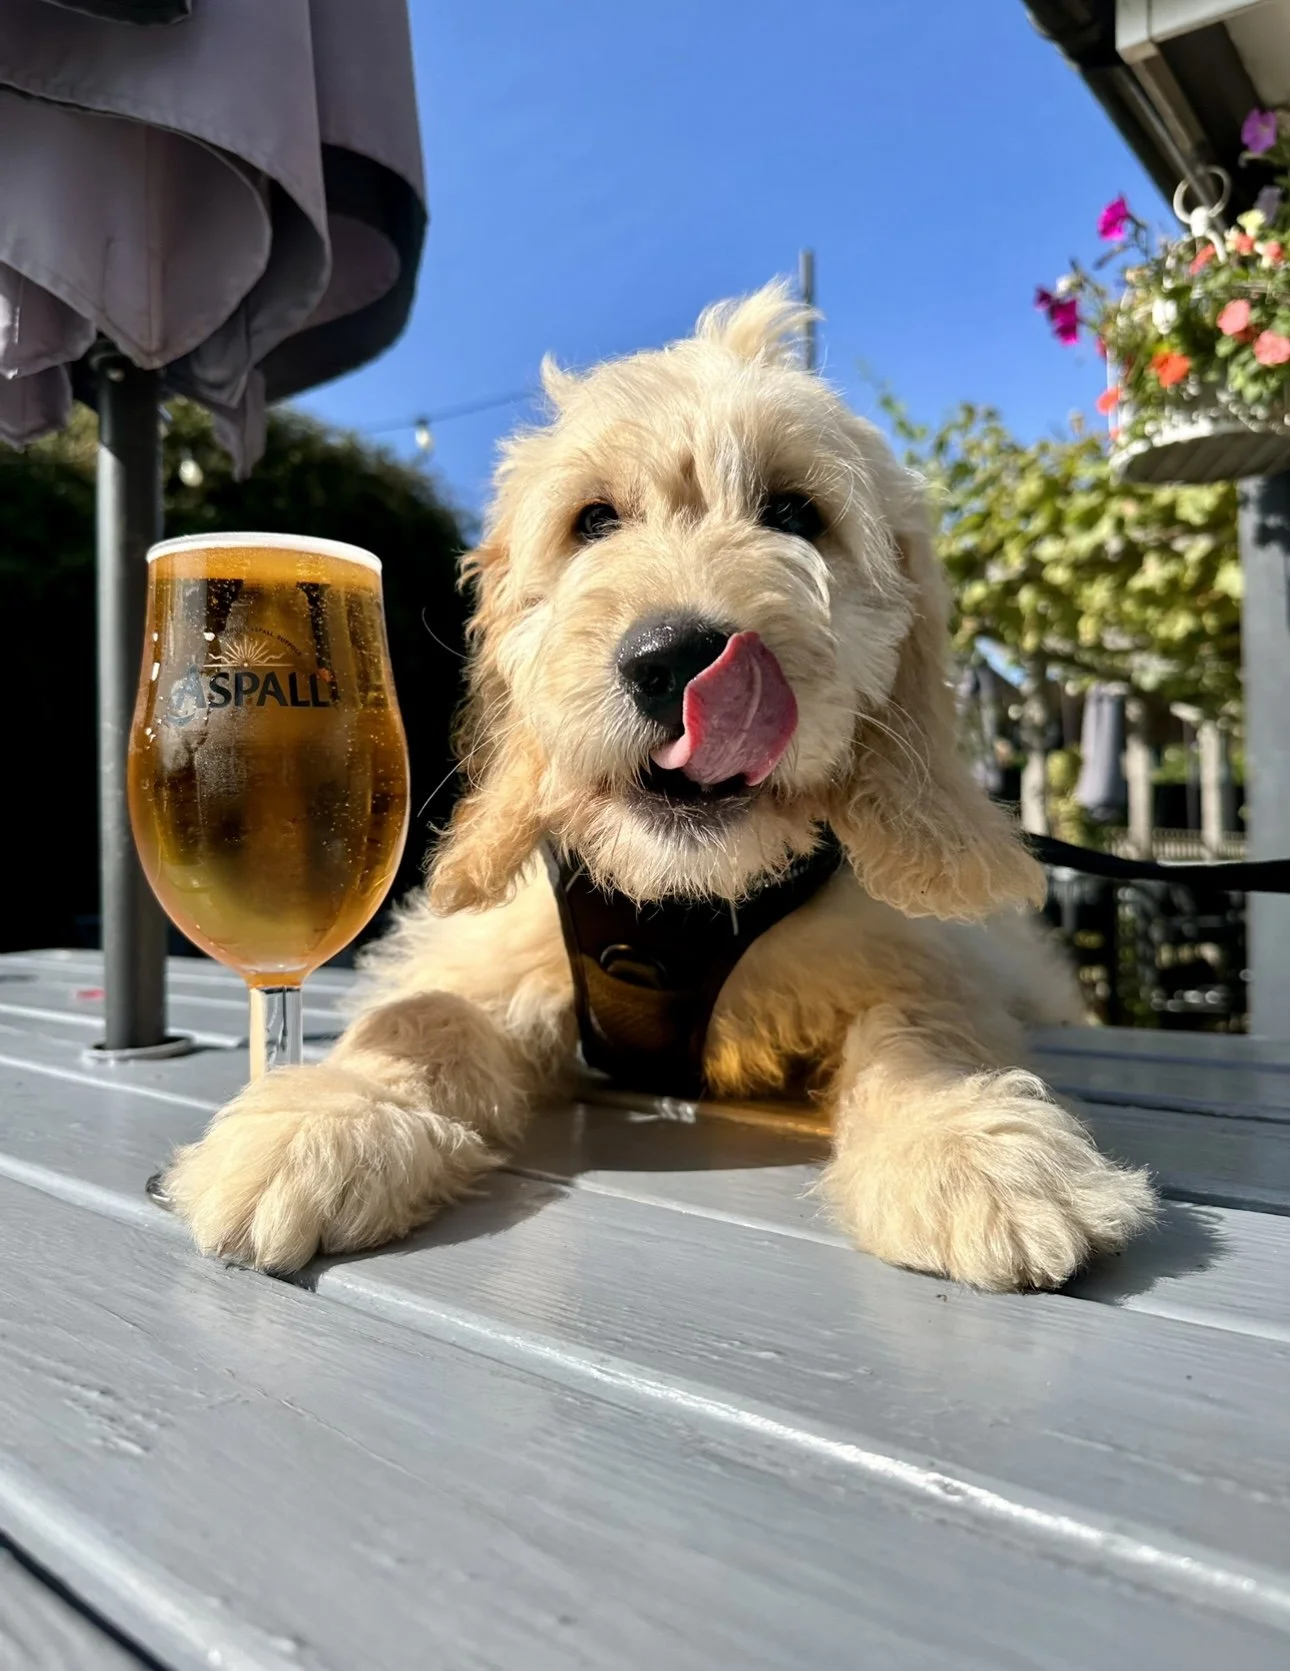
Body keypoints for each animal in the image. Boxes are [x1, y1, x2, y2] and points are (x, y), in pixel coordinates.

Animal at [162, 282, 1156, 1291]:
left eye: (795, 513)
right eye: (594, 520)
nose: (675, 659)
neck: (677, 898)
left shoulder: (924, 958)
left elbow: (922, 1026)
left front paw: (972, 1144)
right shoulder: (487, 950)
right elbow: (426, 1014)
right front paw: (321, 1115)